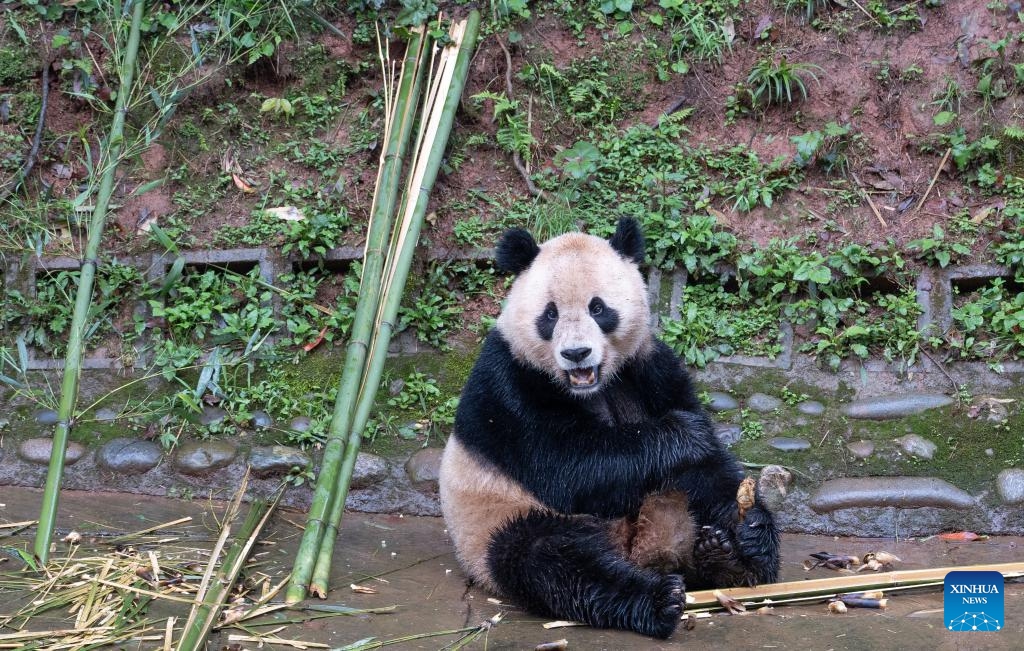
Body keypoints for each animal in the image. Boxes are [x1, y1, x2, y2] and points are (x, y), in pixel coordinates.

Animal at [436, 220, 778, 642]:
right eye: (550, 314)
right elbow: (568, 467)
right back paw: (656, 600)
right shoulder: (507, 383)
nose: (576, 353)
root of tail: (636, 552)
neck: (591, 387)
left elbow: (708, 469)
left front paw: (753, 535)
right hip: (496, 521)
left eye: (598, 308)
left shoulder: (650, 366)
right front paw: (685, 434)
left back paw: (725, 560)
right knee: (553, 561)